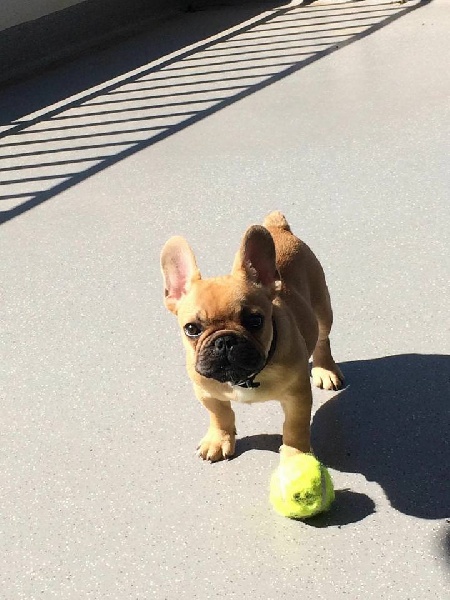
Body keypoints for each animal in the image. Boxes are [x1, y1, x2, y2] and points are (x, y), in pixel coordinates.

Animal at [160, 211, 343, 462]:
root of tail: (279, 228)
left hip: (322, 309)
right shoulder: (206, 392)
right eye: (192, 329)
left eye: (255, 321)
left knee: (322, 340)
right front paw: (219, 440)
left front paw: (295, 455)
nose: (225, 341)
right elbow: (220, 414)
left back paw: (325, 370)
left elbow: (295, 427)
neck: (243, 378)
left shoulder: (297, 397)